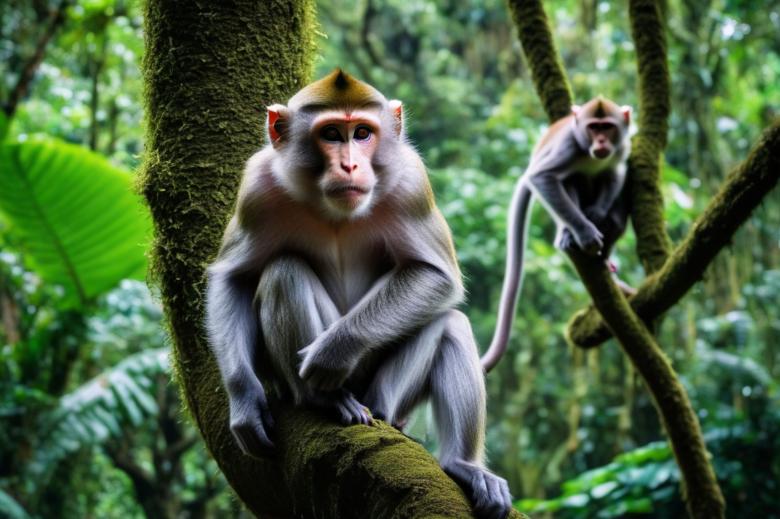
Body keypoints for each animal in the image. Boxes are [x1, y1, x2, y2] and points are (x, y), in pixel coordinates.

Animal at [206, 69, 512, 519]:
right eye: (332, 134)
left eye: (363, 133)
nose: (350, 164)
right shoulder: (257, 188)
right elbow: (234, 278)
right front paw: (245, 402)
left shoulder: (412, 183)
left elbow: (436, 275)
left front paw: (333, 351)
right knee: (283, 271)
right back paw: (323, 399)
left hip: (388, 394)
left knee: (449, 322)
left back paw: (458, 462)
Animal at [481, 96, 632, 372]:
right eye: (593, 128)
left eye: (608, 127)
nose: (601, 142)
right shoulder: (569, 146)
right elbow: (544, 177)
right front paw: (585, 233)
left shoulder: (621, 149)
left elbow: (615, 174)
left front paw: (596, 214)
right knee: (569, 178)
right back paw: (569, 234)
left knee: (614, 215)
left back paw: (605, 255)